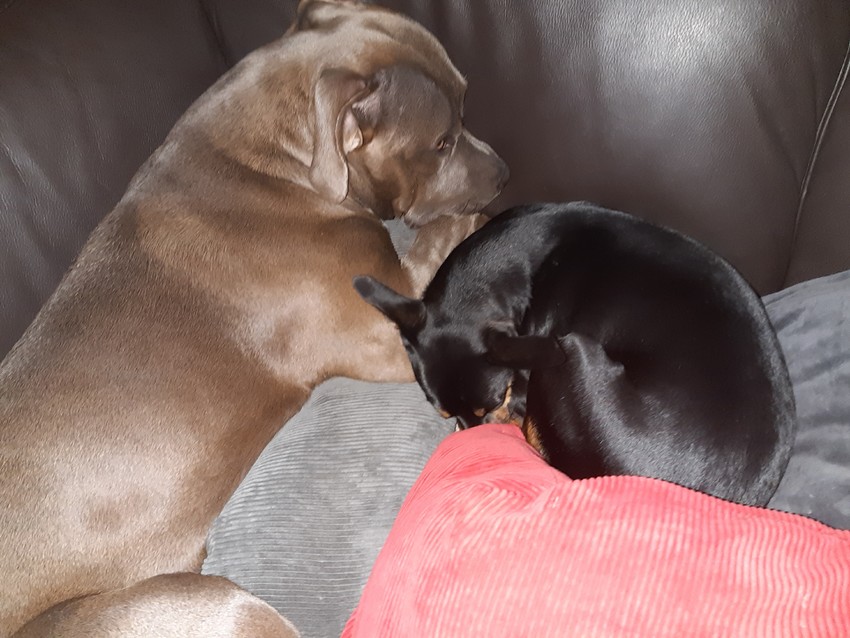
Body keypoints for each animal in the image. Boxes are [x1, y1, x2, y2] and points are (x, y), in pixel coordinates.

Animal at [0, 1, 507, 634]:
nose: (504, 172)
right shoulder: (385, 329)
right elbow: (445, 231)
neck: (268, 162)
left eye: (466, 102)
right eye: (441, 142)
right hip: (213, 603)